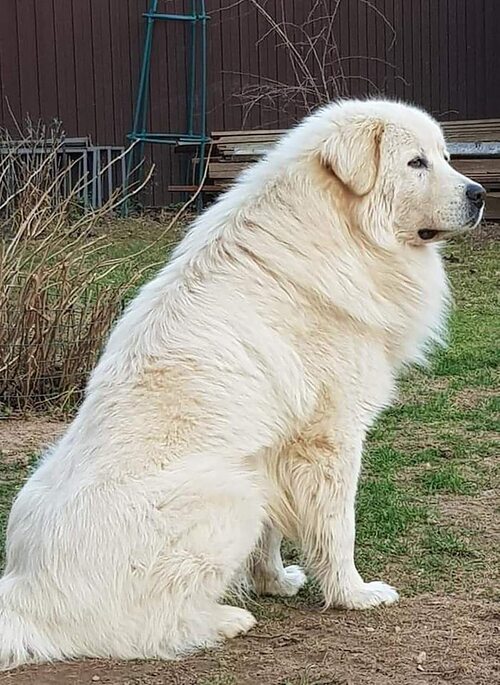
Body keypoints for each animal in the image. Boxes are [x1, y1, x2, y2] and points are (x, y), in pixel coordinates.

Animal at [0, 99, 484, 664]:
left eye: (445, 157)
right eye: (415, 163)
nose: (479, 194)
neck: (341, 230)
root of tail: (28, 593)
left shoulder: (273, 448)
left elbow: (273, 536)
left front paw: (275, 582)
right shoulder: (330, 437)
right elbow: (338, 527)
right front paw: (353, 594)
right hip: (230, 493)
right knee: (138, 629)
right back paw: (225, 620)